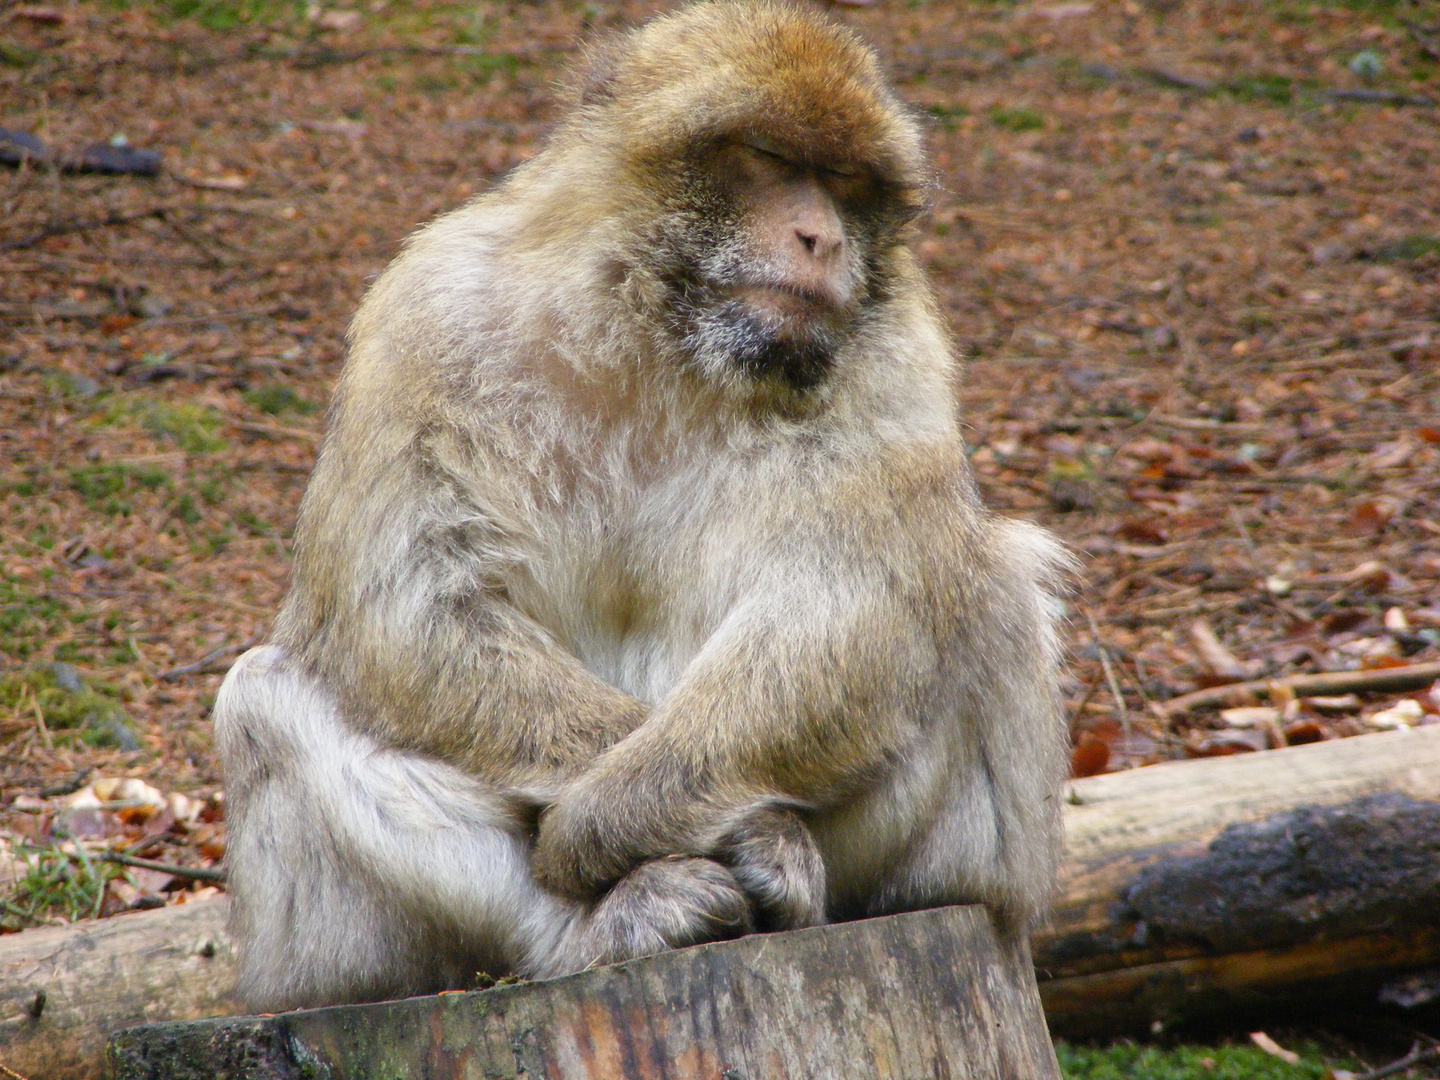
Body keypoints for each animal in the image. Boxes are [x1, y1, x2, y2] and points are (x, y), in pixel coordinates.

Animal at [210, 0, 1071, 1013]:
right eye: (770, 158)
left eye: (846, 181)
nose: (821, 238)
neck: (661, 335)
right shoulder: (430, 313)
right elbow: (412, 603)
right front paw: (625, 826)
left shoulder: (896, 352)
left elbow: (846, 603)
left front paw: (618, 819)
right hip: (338, 962)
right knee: (265, 701)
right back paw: (605, 925)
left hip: (944, 870)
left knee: (984, 593)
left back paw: (789, 865)